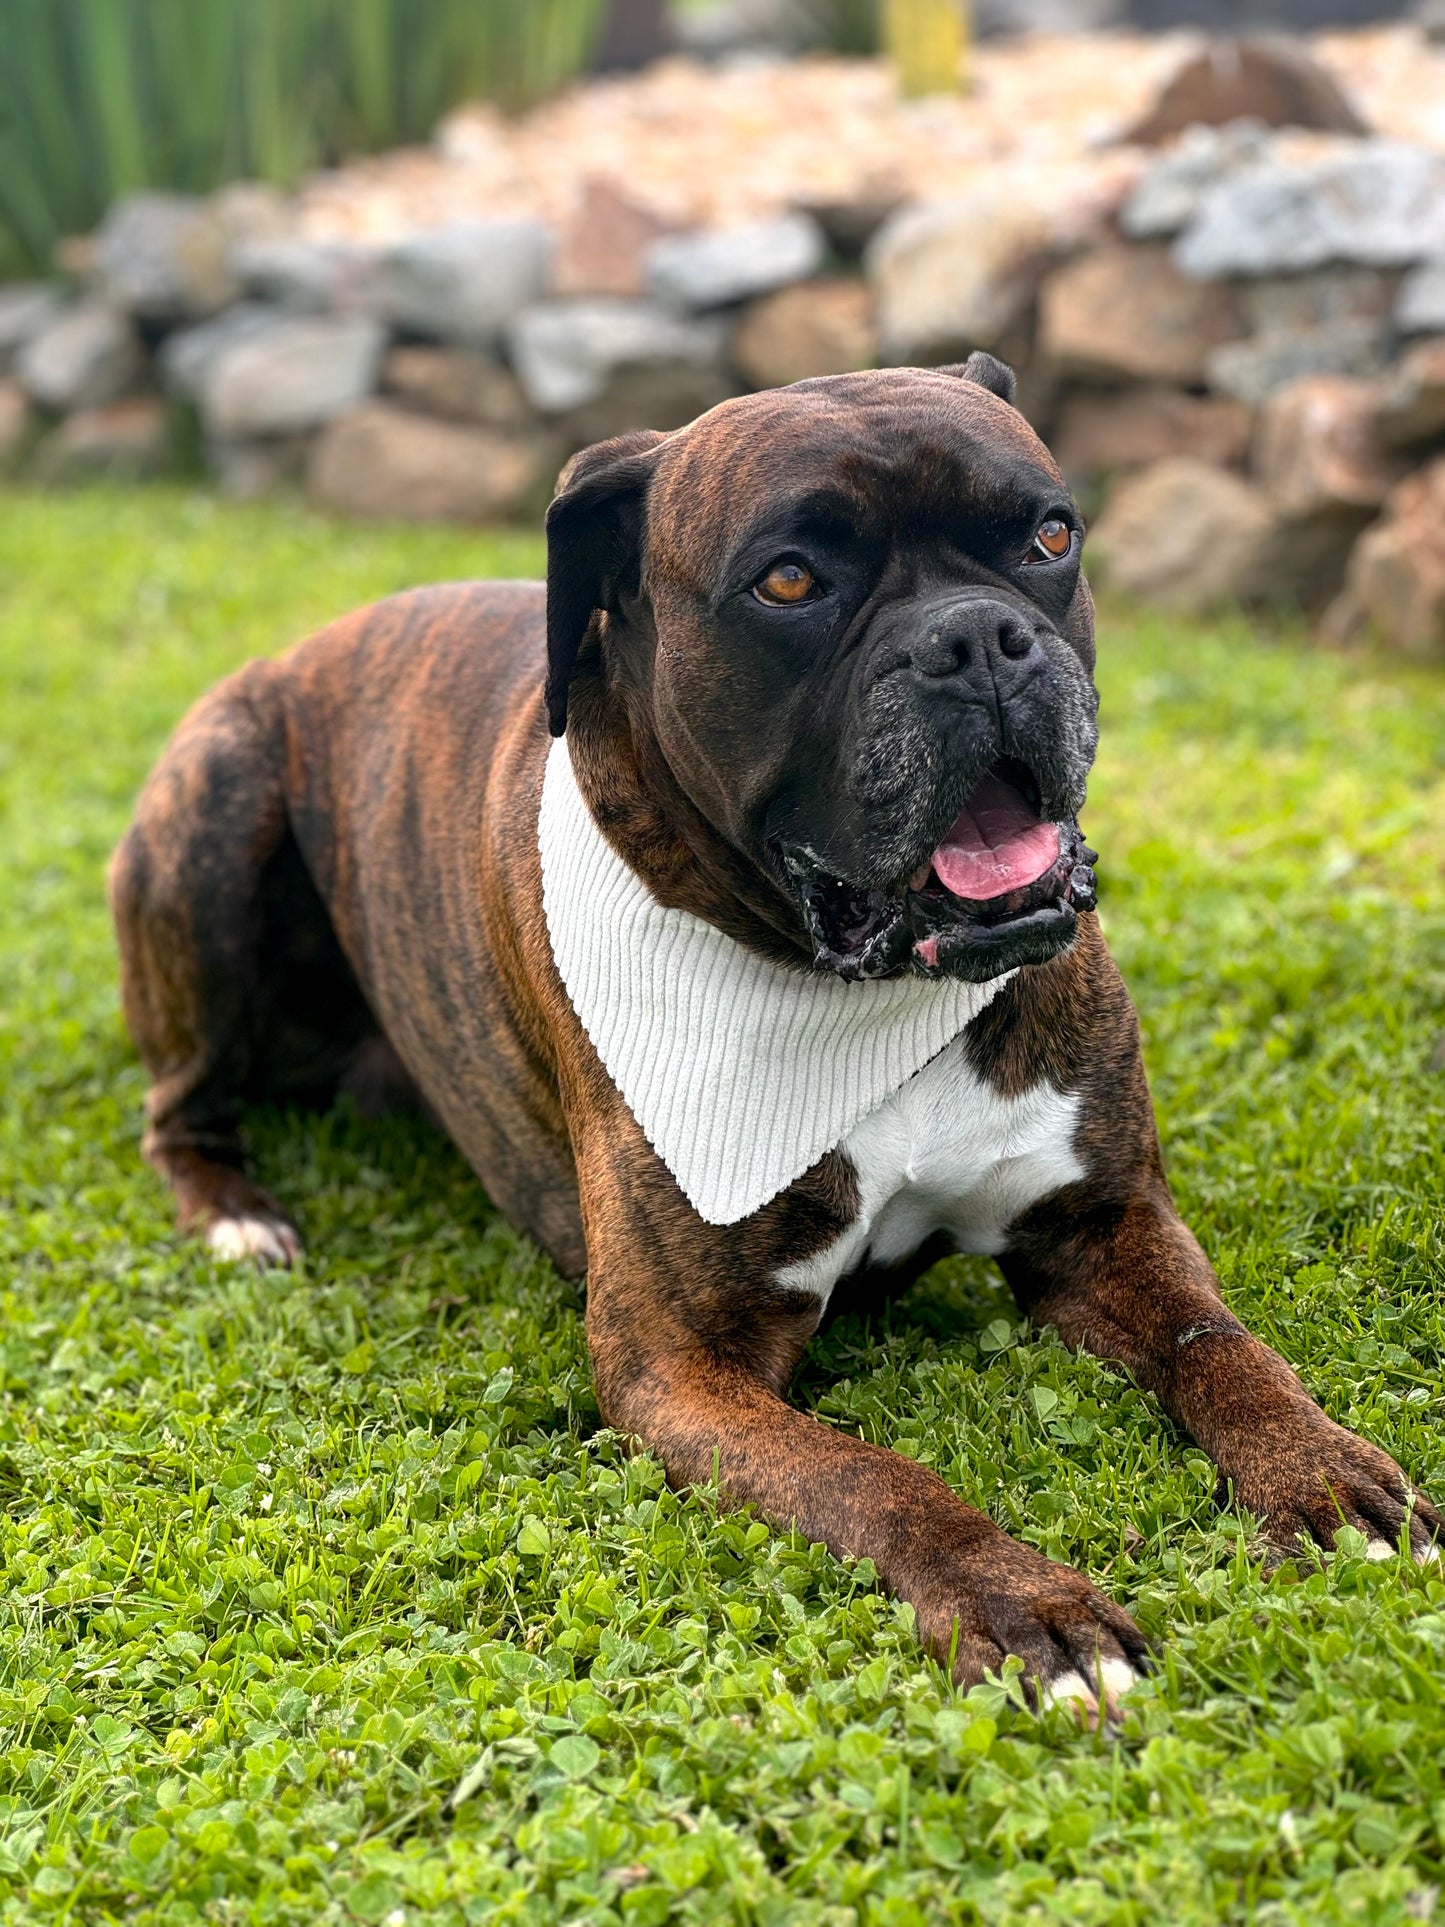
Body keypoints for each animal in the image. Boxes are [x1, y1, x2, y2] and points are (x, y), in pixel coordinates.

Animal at [110, 354, 1441, 1711]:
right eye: (789, 580)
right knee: (178, 1104)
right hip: (213, 812)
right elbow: (877, 1478)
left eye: (1048, 536)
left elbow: (1217, 1342)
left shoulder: (1102, 1221)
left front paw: (1321, 1472)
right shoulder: (679, 1365)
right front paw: (1027, 1607)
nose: (976, 637)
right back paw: (237, 1213)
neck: (864, 995)